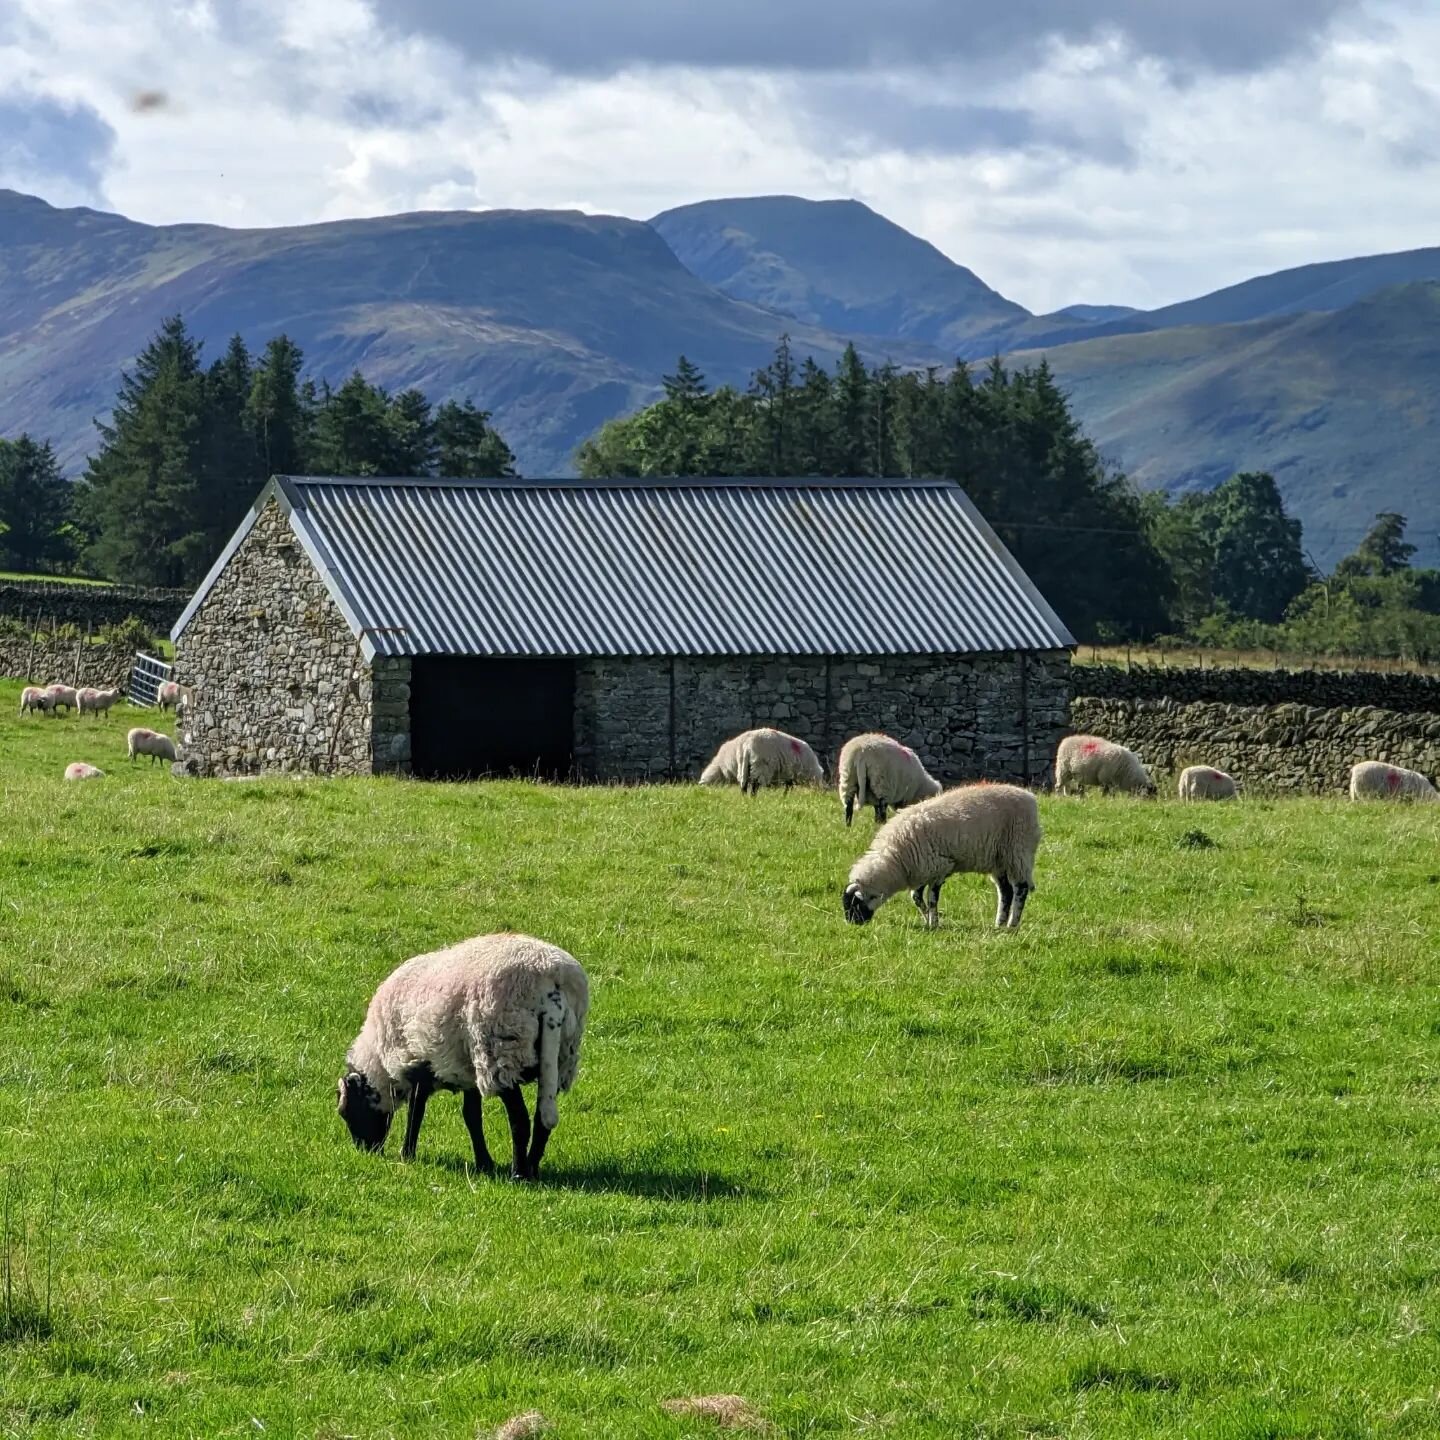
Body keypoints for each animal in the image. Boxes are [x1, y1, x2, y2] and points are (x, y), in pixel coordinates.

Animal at [336, 933, 590, 1180]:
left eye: (346, 1111)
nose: (366, 1151)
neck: (380, 1062)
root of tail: (549, 979)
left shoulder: (416, 1063)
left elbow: (416, 1111)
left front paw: (406, 1154)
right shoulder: (467, 1070)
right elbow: (471, 1116)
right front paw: (484, 1164)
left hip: (502, 1050)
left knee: (520, 1119)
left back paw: (518, 1173)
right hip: (558, 1057)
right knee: (542, 1119)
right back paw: (532, 1168)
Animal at [840, 789, 1042, 933]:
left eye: (854, 905)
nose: (852, 924)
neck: (896, 858)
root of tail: (1030, 798)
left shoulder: (939, 868)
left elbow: (931, 899)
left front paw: (934, 922)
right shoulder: (922, 870)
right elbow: (916, 897)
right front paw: (927, 920)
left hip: (1018, 851)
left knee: (1021, 889)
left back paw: (1012, 924)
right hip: (999, 860)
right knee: (1005, 891)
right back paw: (999, 924)